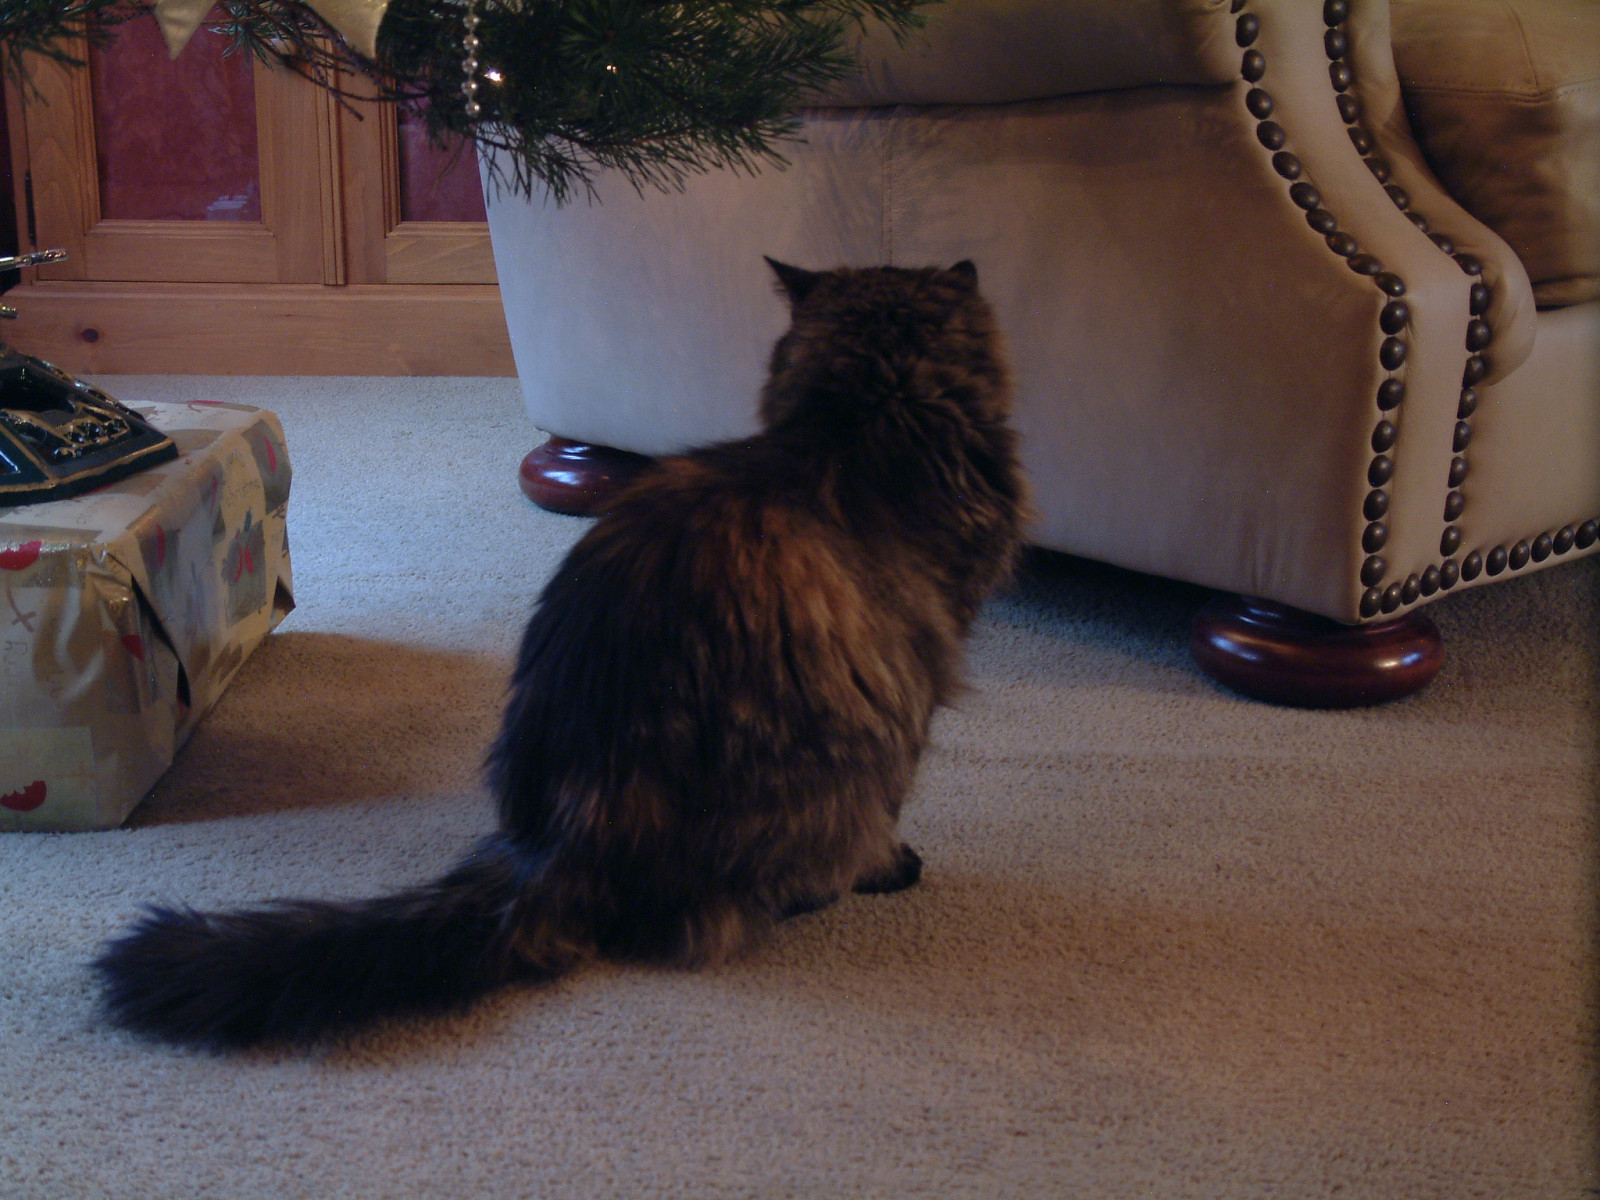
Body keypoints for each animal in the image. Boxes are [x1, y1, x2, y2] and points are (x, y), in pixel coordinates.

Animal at [93, 258, 1028, 1051]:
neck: (867, 414)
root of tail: (561, 842)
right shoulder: (921, 674)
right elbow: (897, 807)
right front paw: (890, 863)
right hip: (843, 755)